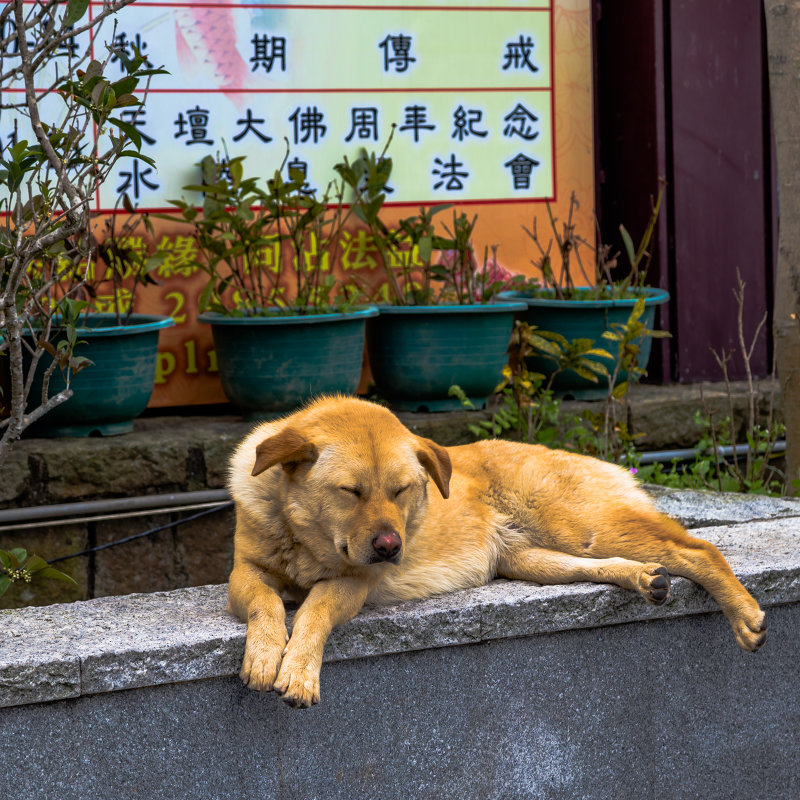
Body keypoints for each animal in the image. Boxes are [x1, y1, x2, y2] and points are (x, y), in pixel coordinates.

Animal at [228, 394, 764, 708]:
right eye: (350, 491)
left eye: (402, 490)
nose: (391, 545)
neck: (302, 538)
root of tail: (596, 460)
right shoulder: (243, 573)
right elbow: (266, 603)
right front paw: (265, 655)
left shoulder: (353, 581)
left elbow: (314, 610)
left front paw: (298, 671)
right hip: (538, 560)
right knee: (607, 566)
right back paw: (643, 578)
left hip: (584, 528)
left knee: (701, 549)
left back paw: (743, 613)